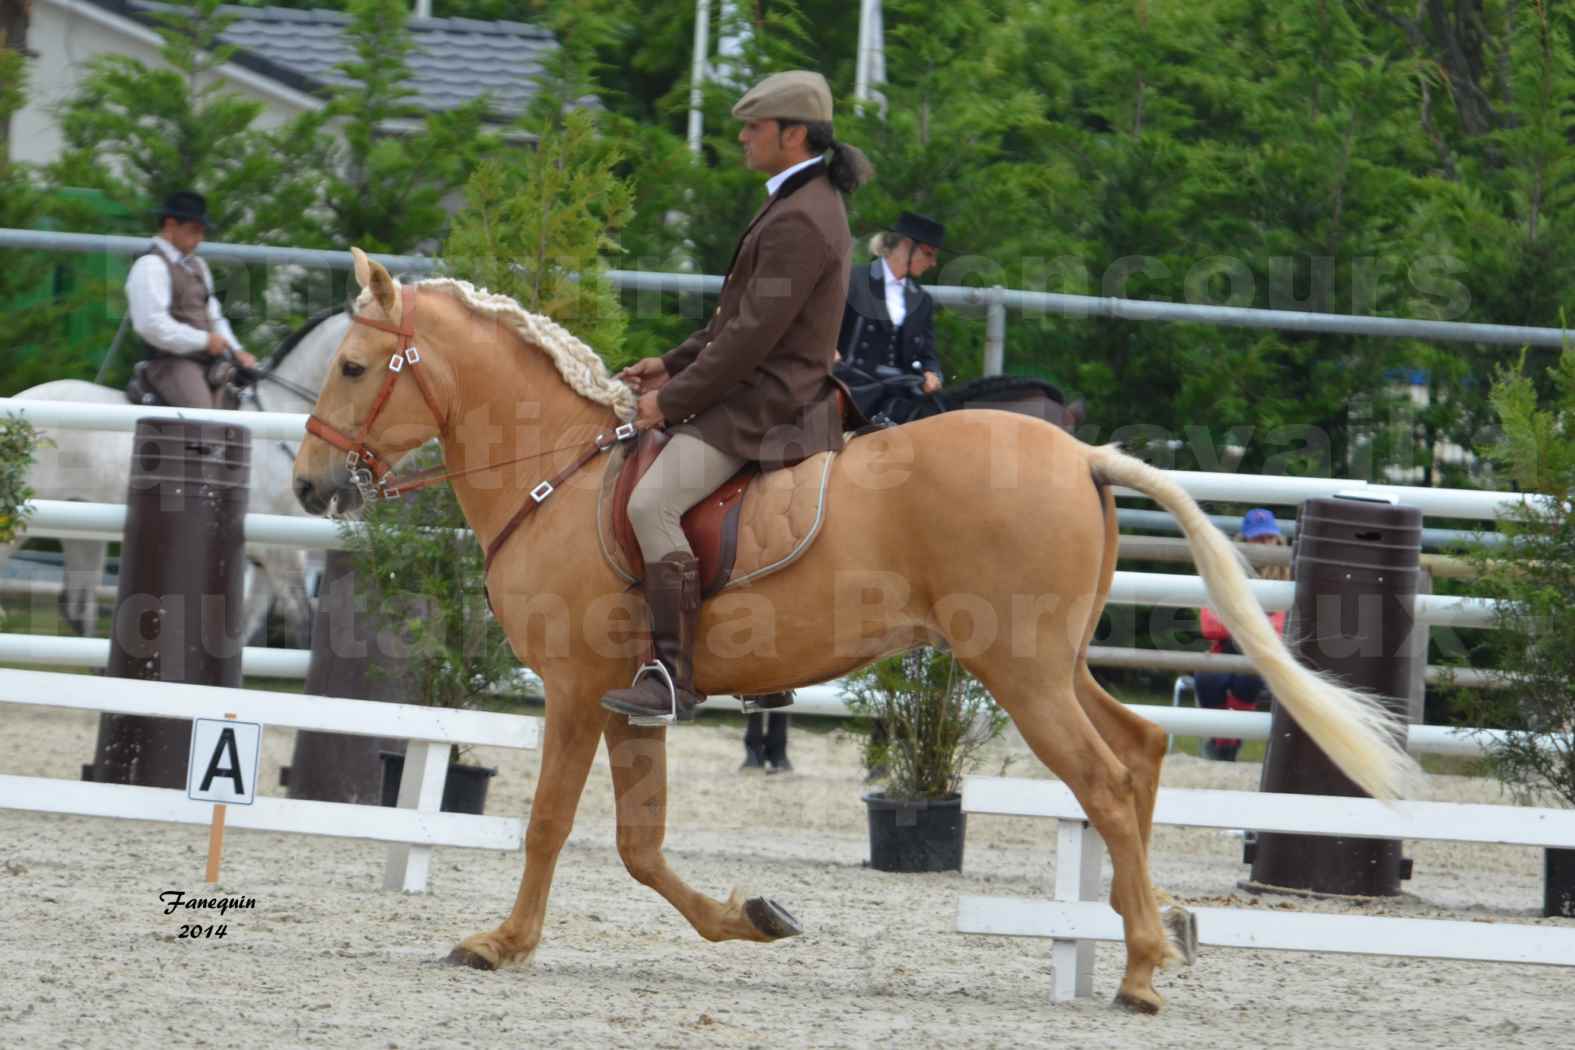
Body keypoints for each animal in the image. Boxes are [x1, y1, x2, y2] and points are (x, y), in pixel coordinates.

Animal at [0, 308, 351, 645]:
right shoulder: (281, 553)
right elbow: (302, 625)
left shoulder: (268, 558)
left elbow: (243, 631)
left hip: (82, 530)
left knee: (77, 606)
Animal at [292, 250, 1417, 1013]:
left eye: (351, 366)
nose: (308, 486)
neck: (558, 470)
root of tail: (1081, 453)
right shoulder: (629, 701)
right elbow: (640, 846)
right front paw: (750, 920)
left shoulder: (574, 691)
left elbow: (549, 826)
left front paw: (500, 943)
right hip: (1050, 662)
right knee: (1138, 751)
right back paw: (1161, 931)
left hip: (1018, 669)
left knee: (1100, 778)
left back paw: (1140, 971)